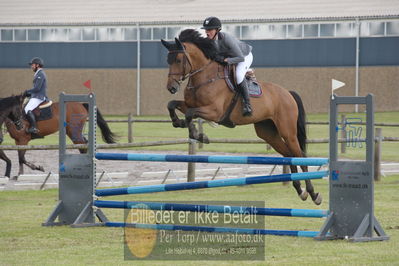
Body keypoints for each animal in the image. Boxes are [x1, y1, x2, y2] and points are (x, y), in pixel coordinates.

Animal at [162, 28, 322, 204]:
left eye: (178, 60)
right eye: (168, 60)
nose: (171, 87)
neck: (204, 77)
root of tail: (288, 93)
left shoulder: (215, 112)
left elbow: (190, 114)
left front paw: (199, 135)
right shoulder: (190, 105)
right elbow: (172, 105)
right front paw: (179, 123)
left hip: (288, 131)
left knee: (300, 157)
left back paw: (313, 194)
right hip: (268, 132)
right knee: (288, 155)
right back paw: (300, 190)